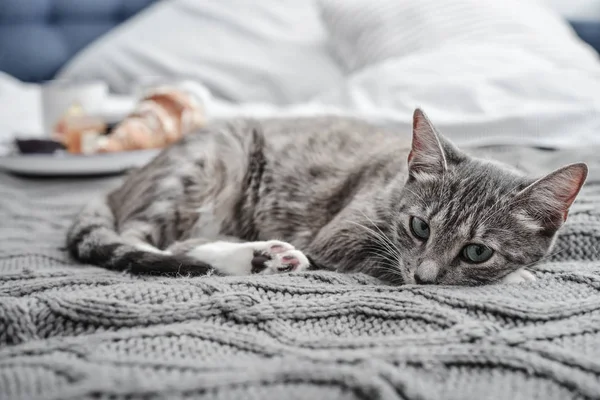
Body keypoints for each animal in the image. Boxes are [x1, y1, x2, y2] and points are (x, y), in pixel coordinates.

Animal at [65, 108, 584, 284]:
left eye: (477, 251)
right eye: (419, 227)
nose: (425, 278)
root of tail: (123, 181)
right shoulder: (341, 234)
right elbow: (375, 258)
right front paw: (518, 279)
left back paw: (265, 258)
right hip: (209, 165)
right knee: (161, 243)